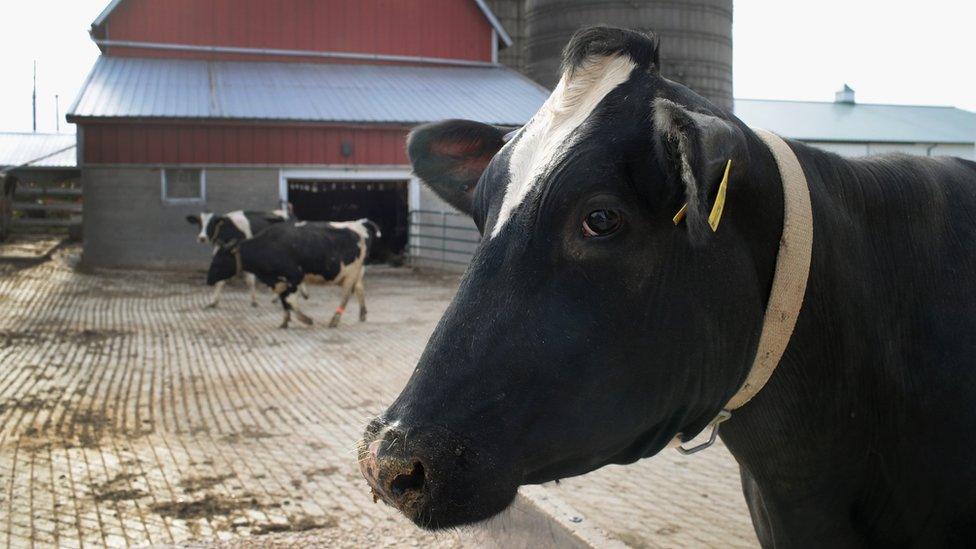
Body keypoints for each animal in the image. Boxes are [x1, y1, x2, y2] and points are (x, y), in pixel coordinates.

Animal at [207, 217, 382, 330]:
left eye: (218, 261)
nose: (208, 280)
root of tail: (360, 223)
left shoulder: (294, 277)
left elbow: (289, 300)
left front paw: (306, 319)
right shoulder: (279, 281)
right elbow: (284, 300)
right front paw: (285, 321)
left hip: (351, 272)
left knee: (346, 295)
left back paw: (334, 320)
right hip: (354, 273)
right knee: (359, 288)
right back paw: (362, 314)